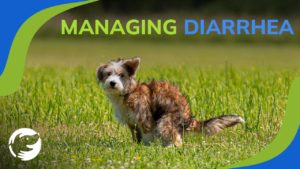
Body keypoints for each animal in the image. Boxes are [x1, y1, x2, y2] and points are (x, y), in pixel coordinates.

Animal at [97, 57, 245, 147]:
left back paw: (169, 147)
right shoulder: (131, 122)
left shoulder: (145, 117)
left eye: (121, 75)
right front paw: (136, 145)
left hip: (166, 120)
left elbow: (147, 133)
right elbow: (136, 135)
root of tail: (189, 118)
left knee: (177, 140)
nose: (112, 83)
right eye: (108, 74)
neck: (128, 92)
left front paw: (146, 146)